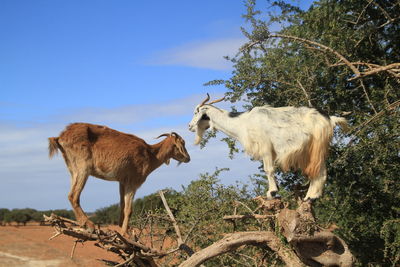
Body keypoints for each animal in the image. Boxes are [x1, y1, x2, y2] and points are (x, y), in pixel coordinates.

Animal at [48, 122, 189, 236]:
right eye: (182, 143)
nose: (188, 158)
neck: (151, 154)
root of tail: (61, 137)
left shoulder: (122, 182)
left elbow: (122, 206)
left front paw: (121, 230)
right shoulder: (133, 182)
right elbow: (129, 209)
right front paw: (125, 233)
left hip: (73, 170)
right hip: (83, 168)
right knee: (73, 196)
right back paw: (89, 225)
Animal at [188, 94, 346, 201]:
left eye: (196, 112)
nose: (189, 126)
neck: (243, 122)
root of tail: (329, 119)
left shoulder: (265, 147)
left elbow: (268, 169)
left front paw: (272, 192)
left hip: (316, 147)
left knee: (320, 171)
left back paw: (312, 196)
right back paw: (310, 197)